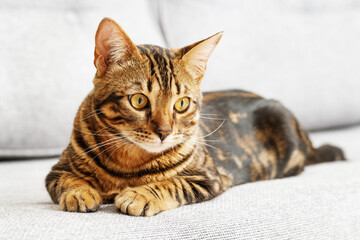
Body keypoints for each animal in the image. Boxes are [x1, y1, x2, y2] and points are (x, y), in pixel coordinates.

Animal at [45, 17, 346, 217]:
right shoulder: (56, 170)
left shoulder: (209, 177)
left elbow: (172, 183)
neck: (129, 161)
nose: (164, 132)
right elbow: (68, 179)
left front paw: (140, 194)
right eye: (139, 100)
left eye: (181, 104)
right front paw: (80, 192)